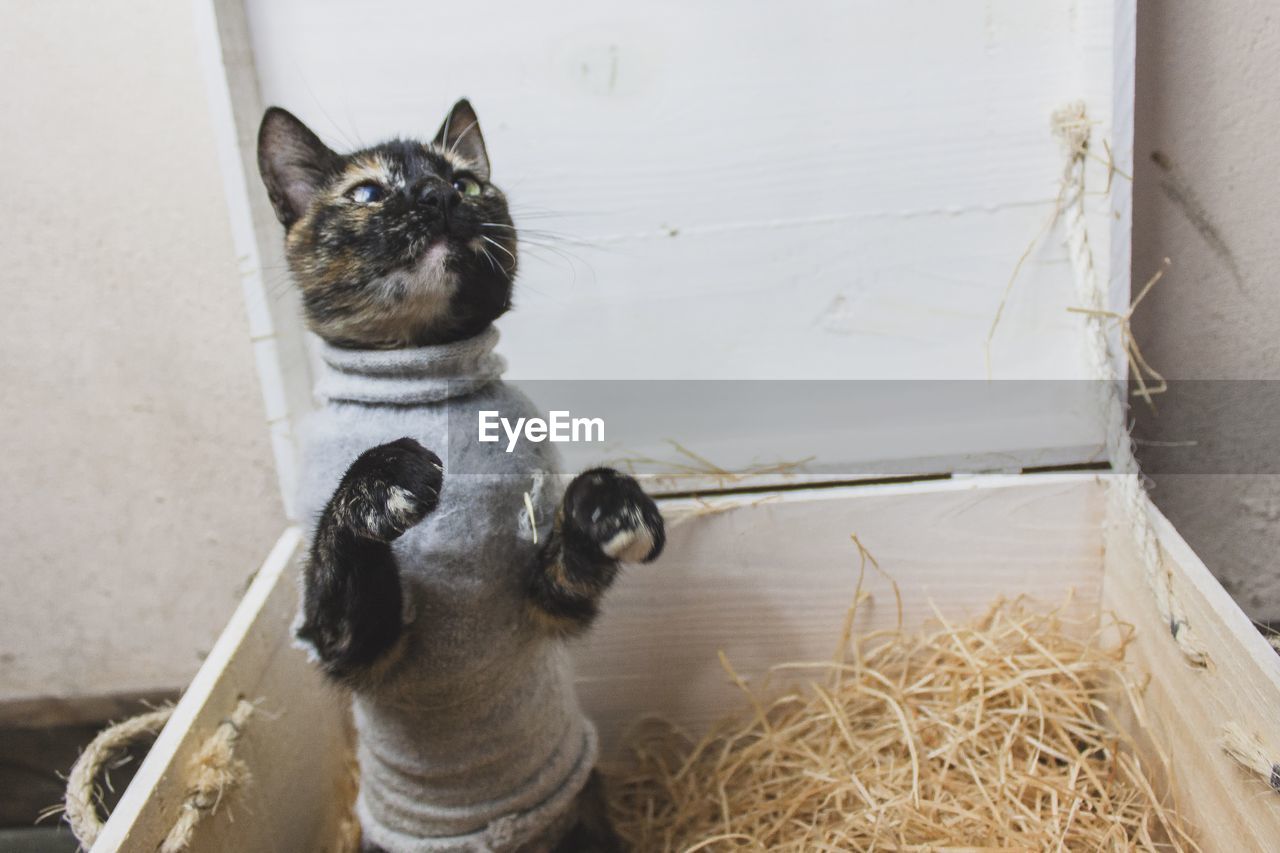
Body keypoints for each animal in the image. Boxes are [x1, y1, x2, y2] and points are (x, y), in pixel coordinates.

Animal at [256, 101, 665, 850]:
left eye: (467, 182)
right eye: (368, 192)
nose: (436, 194)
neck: (424, 381)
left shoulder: (547, 597)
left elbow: (572, 559)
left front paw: (606, 503)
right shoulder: (346, 643)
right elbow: (335, 547)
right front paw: (383, 476)